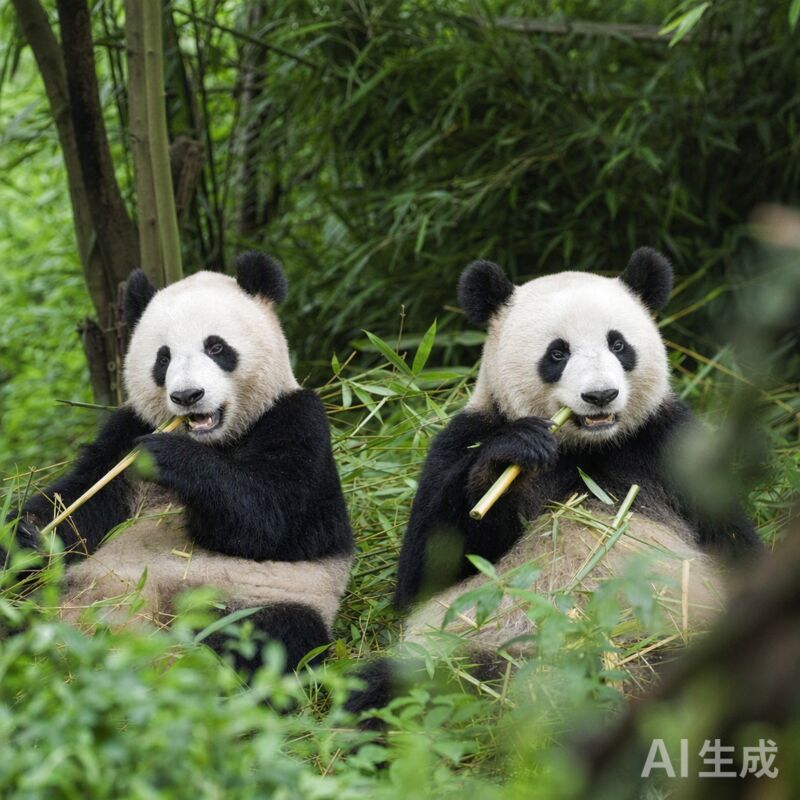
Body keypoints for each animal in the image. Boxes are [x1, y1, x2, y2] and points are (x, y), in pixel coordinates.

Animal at [7, 253, 353, 673]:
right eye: (163, 357)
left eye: (216, 347)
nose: (188, 396)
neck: (217, 440)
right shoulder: (124, 430)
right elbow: (81, 503)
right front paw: (23, 534)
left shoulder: (298, 421)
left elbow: (276, 518)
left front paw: (168, 456)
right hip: (59, 595)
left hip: (255, 600)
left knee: (260, 637)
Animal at [347, 247, 760, 714]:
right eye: (557, 353)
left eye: (618, 344)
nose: (600, 396)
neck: (586, 447)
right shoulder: (462, 439)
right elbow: (423, 573)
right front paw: (512, 454)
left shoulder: (667, 441)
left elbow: (730, 539)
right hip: (463, 654)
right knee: (393, 687)